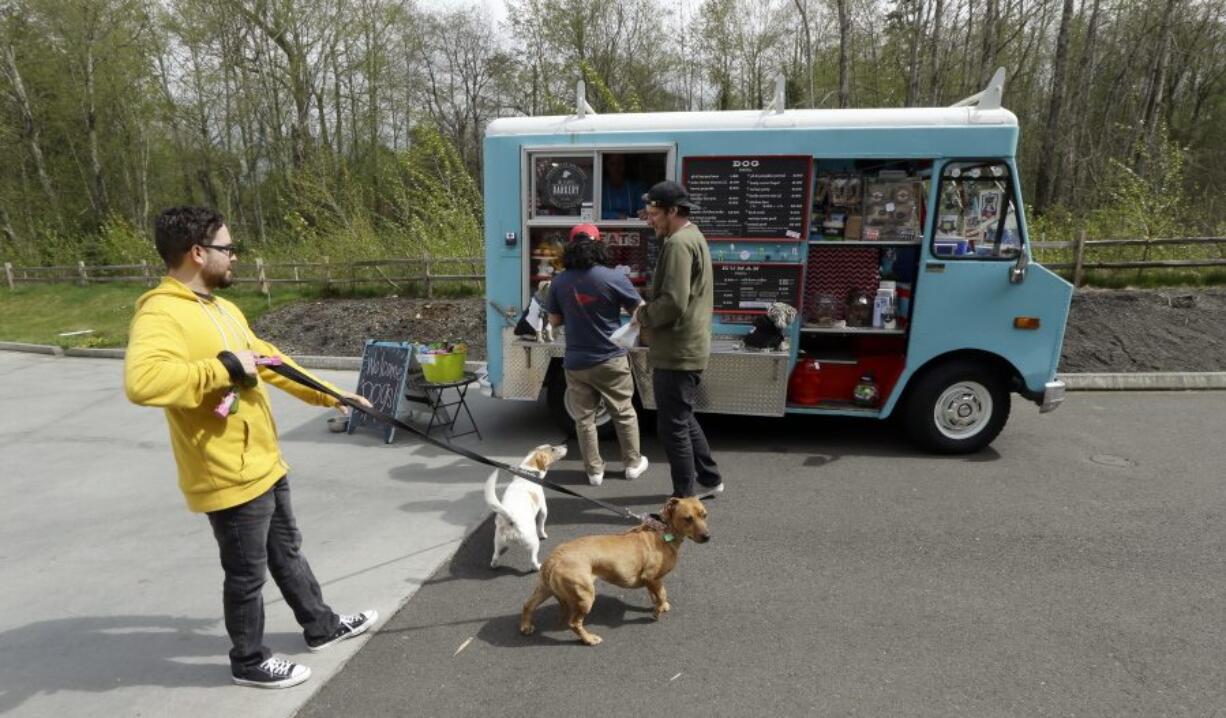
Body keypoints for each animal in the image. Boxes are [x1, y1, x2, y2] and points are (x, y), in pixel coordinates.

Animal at [517, 497, 711, 642]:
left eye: (704, 515)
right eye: (688, 518)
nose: (707, 537)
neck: (663, 530)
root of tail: (554, 559)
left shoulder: (653, 581)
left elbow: (657, 594)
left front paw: (659, 606)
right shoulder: (651, 577)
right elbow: (662, 594)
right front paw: (658, 611)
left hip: (545, 588)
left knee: (528, 604)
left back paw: (526, 626)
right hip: (585, 597)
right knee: (574, 623)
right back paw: (589, 639)